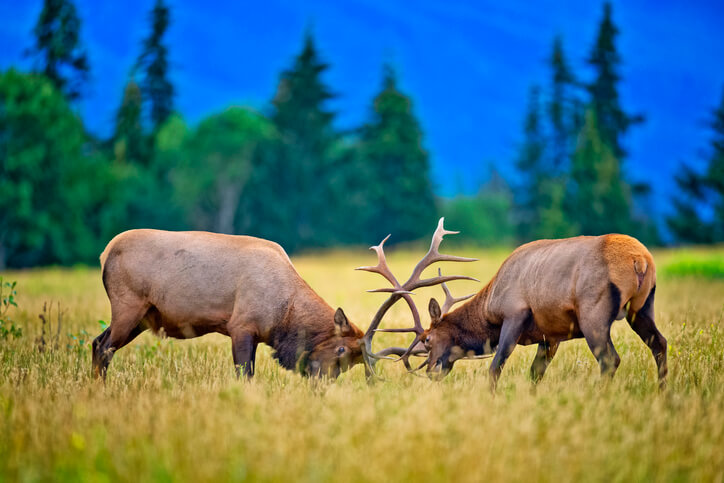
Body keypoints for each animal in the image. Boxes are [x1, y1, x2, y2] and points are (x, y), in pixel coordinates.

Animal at [94, 231, 368, 382]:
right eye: (341, 349)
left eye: (354, 362)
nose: (323, 382)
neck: (284, 314)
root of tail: (104, 254)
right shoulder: (241, 326)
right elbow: (244, 375)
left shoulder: (256, 335)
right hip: (128, 307)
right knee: (104, 347)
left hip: (143, 317)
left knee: (97, 342)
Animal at [362, 229, 668, 392]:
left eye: (427, 339)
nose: (431, 371)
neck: (489, 309)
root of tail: (640, 260)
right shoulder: (550, 335)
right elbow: (535, 372)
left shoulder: (514, 315)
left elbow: (495, 367)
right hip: (643, 307)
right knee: (660, 343)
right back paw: (663, 395)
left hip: (594, 313)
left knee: (609, 359)